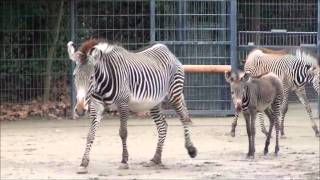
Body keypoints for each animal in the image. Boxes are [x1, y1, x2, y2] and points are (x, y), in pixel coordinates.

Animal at [67, 39, 198, 173]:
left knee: (183, 117)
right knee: (162, 126)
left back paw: (191, 149)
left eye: (92, 77)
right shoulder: (96, 106)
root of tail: (165, 48)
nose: (80, 110)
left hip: (174, 93)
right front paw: (84, 162)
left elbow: (123, 133)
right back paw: (156, 159)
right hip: (154, 102)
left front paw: (124, 161)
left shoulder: (123, 104)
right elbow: (90, 135)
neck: (101, 87)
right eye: (74, 76)